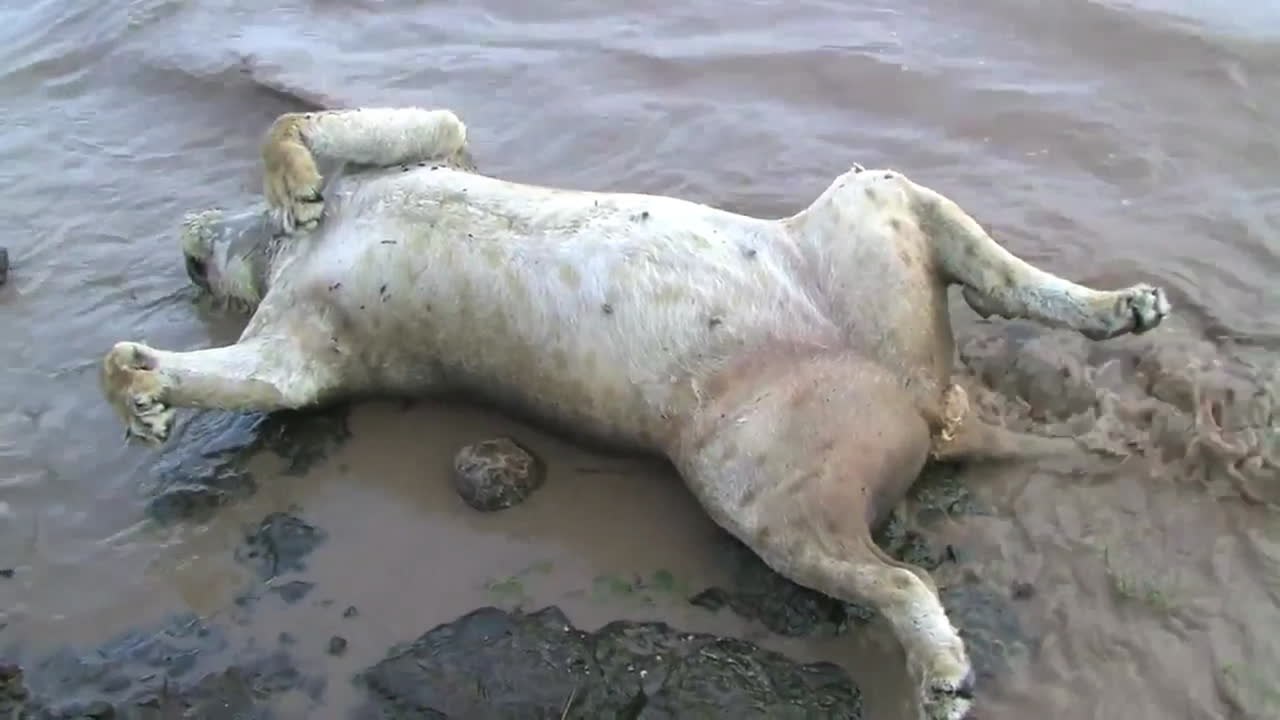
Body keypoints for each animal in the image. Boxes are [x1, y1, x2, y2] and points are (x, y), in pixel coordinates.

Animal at [100, 106, 1169, 720]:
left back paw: (1121, 306)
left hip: (869, 210)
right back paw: (941, 670)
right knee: (901, 577)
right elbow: (197, 373)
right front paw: (142, 393)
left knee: (1011, 283)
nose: (185, 245)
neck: (276, 259)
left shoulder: (432, 149)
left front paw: (288, 186)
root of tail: (929, 400)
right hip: (765, 490)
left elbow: (309, 119)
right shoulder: (297, 360)